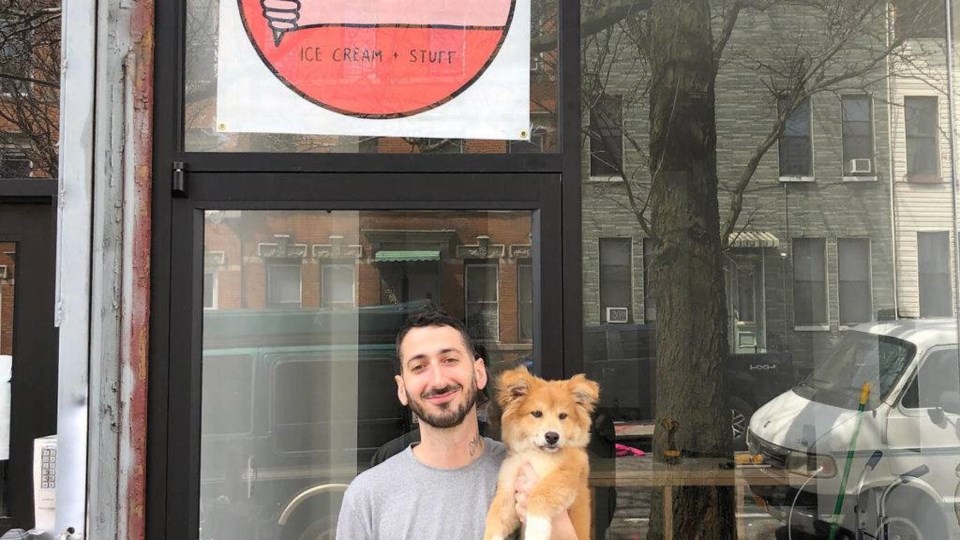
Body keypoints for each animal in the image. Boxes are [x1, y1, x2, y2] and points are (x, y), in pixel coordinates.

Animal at [480, 364, 600, 536]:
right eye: (537, 413)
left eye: (562, 416)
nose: (552, 436)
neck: (537, 454)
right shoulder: (508, 488)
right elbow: (495, 518)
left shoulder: (567, 474)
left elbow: (539, 495)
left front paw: (535, 530)